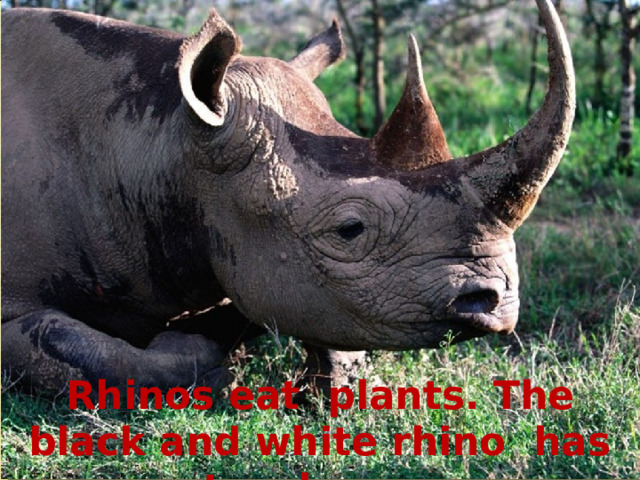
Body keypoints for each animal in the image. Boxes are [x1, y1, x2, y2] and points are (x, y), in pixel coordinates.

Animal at [1, 0, 574, 396]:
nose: (496, 303)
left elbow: (316, 312)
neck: (165, 139)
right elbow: (83, 354)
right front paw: (205, 356)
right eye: (349, 230)